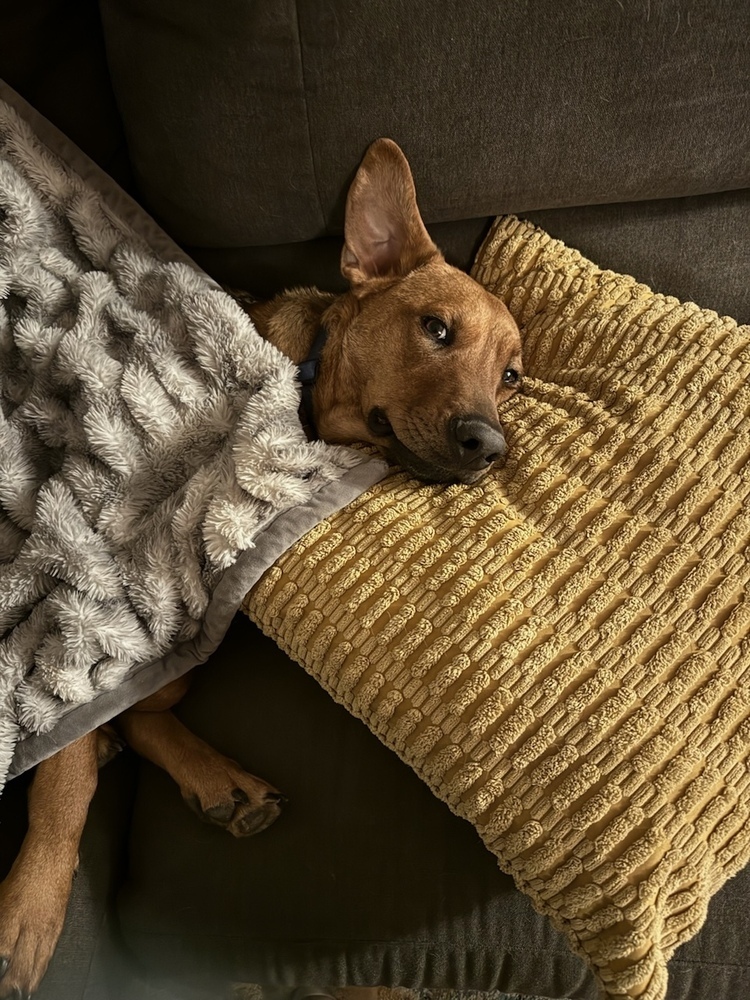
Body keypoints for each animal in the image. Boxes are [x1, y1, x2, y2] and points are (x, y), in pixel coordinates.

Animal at [0, 139, 524, 992]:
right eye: (436, 329)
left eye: (511, 376)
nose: (490, 445)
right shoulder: (88, 585)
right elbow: (68, 766)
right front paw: (28, 911)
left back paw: (218, 780)